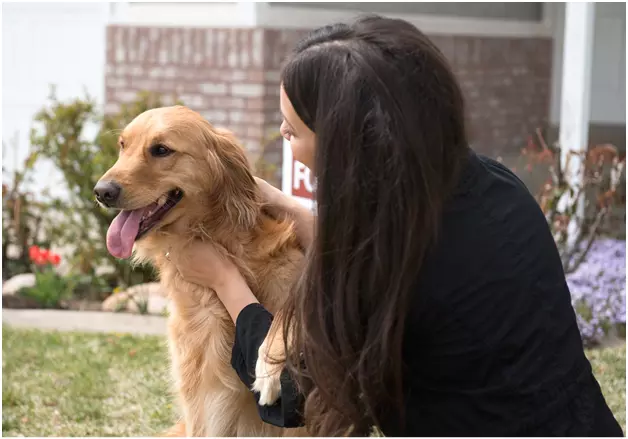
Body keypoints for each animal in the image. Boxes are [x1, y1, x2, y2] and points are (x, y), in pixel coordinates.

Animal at [94, 105, 306, 436]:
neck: (223, 242)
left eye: (161, 150)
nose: (101, 192)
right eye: (123, 146)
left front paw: (268, 369)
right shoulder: (204, 390)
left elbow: (290, 310)